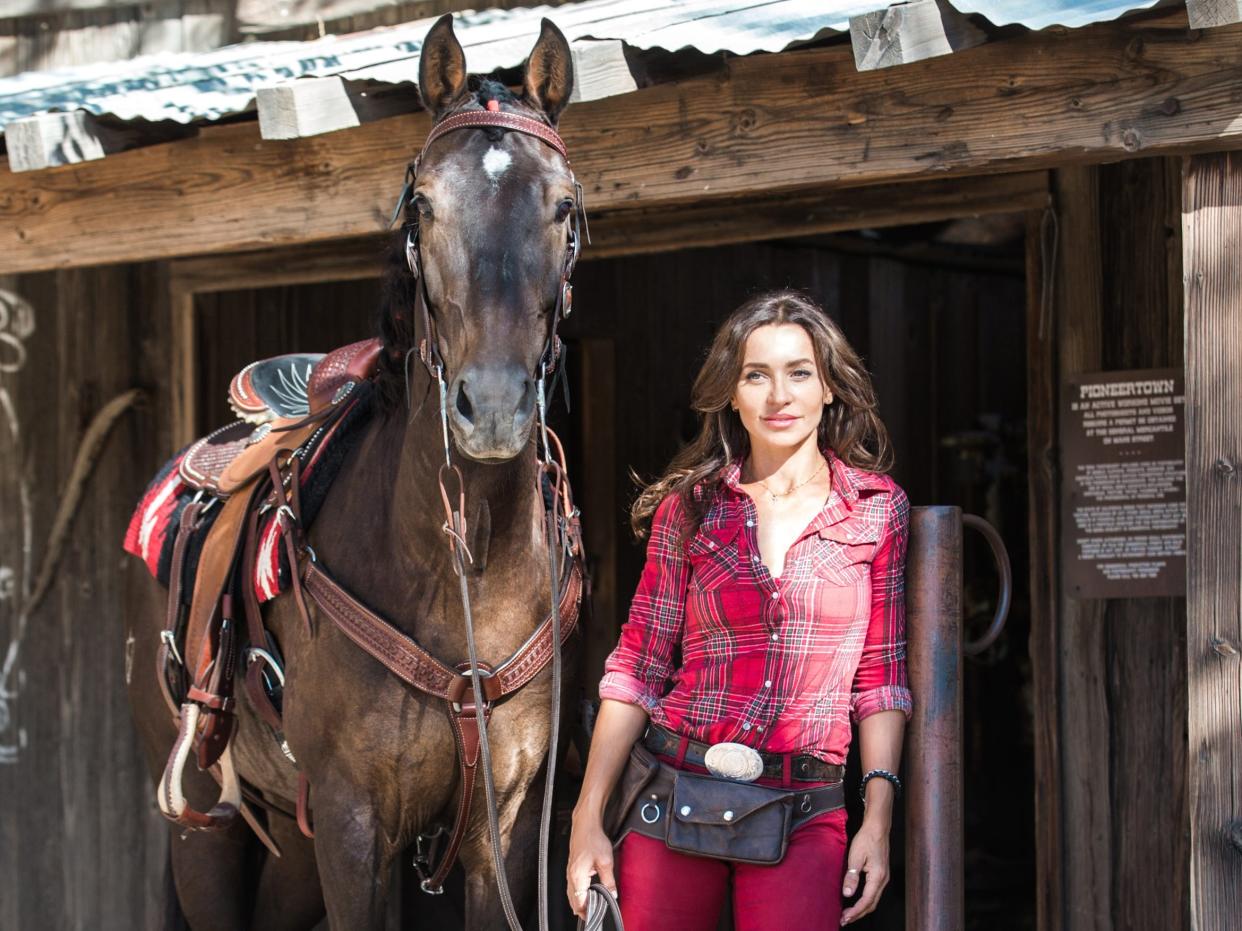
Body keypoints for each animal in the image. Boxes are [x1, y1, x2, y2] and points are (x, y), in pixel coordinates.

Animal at [128, 16, 583, 931]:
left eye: (562, 206)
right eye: (424, 205)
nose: (491, 407)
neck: (463, 573)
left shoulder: (505, 826)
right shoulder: (351, 820)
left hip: (289, 838)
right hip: (207, 828)